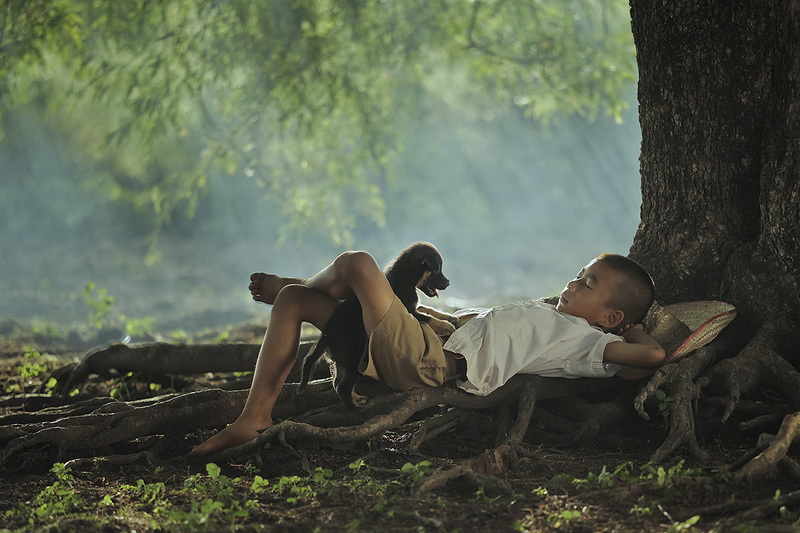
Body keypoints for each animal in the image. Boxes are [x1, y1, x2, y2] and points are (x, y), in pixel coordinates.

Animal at [296, 243, 460, 410]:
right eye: (437, 269)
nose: (448, 282)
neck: (404, 278)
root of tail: (326, 336)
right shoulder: (410, 311)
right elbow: (428, 317)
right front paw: (446, 325)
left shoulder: (414, 307)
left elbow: (429, 309)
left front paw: (450, 317)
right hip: (356, 359)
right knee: (343, 387)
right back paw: (357, 409)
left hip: (343, 361)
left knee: (337, 383)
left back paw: (358, 399)